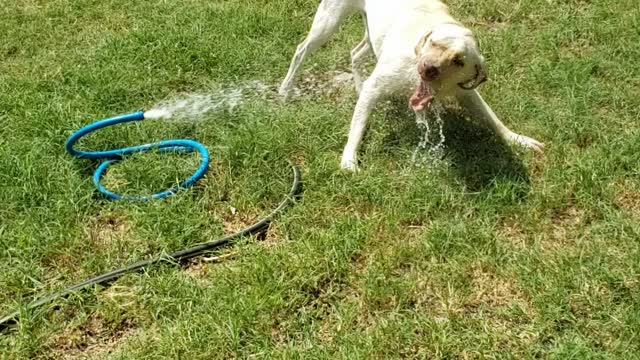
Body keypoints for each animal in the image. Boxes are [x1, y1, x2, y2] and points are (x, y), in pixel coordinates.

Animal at [278, 0, 544, 171]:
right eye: (434, 43)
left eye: (458, 60)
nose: (428, 68)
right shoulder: (378, 84)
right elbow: (357, 127)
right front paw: (349, 159)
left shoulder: (466, 93)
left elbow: (492, 119)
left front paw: (516, 139)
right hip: (328, 22)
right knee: (301, 51)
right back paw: (285, 90)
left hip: (371, 34)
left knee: (355, 53)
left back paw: (357, 86)